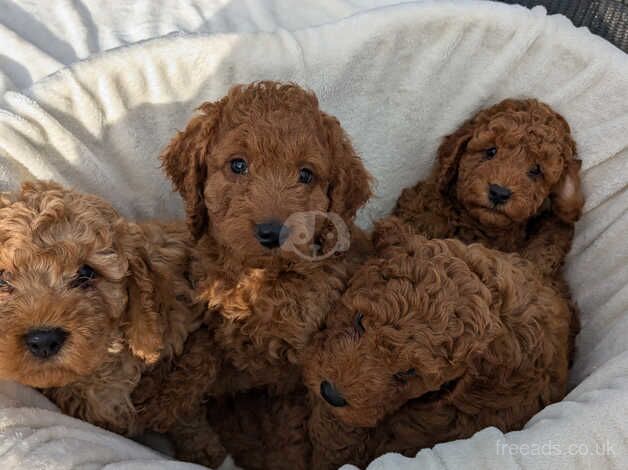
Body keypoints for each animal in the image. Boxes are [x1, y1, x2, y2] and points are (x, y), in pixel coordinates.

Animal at [157, 81, 370, 408]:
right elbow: (197, 366)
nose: (272, 232)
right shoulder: (212, 327)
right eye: (238, 164)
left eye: (306, 174)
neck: (258, 277)